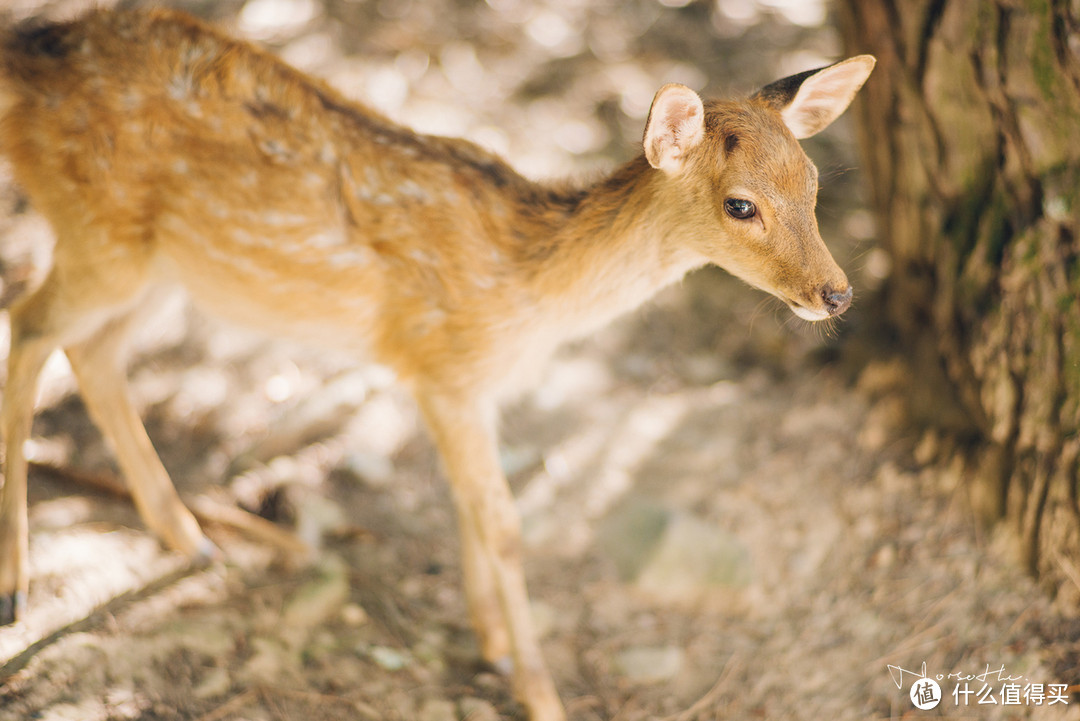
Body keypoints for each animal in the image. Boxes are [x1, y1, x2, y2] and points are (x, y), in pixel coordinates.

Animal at [0, 8, 872, 716]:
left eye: (814, 181)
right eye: (739, 204)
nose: (835, 293)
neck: (529, 294)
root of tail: (24, 58)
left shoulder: (463, 385)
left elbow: (467, 505)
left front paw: (492, 642)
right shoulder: (443, 365)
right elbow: (506, 525)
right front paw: (540, 692)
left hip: (168, 265)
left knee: (92, 349)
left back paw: (190, 537)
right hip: (101, 230)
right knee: (31, 323)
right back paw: (18, 586)